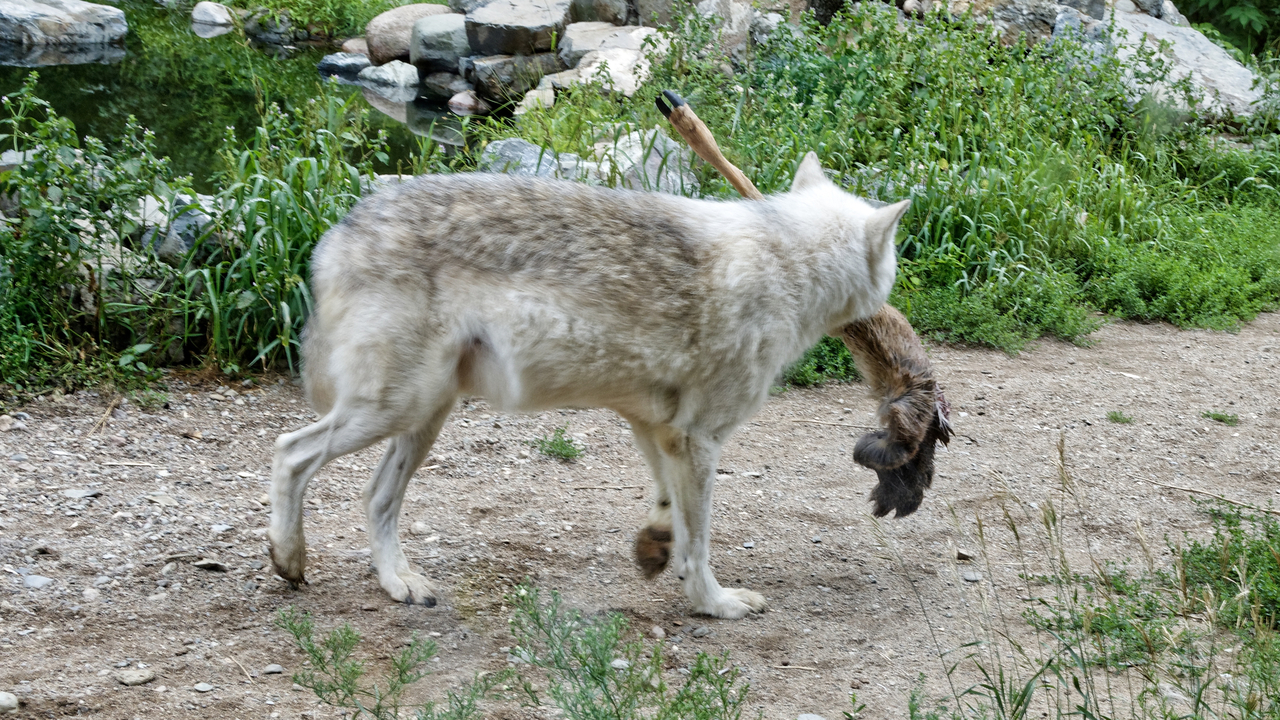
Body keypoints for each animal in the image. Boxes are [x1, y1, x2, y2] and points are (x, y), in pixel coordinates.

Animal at [268, 152, 911, 619]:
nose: (895, 305)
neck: (789, 262)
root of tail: (336, 234)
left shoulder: (656, 427)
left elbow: (668, 508)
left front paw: (655, 550)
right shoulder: (699, 438)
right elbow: (701, 540)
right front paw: (715, 604)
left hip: (424, 416)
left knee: (375, 496)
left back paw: (399, 583)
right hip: (396, 409)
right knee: (289, 452)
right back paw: (289, 559)